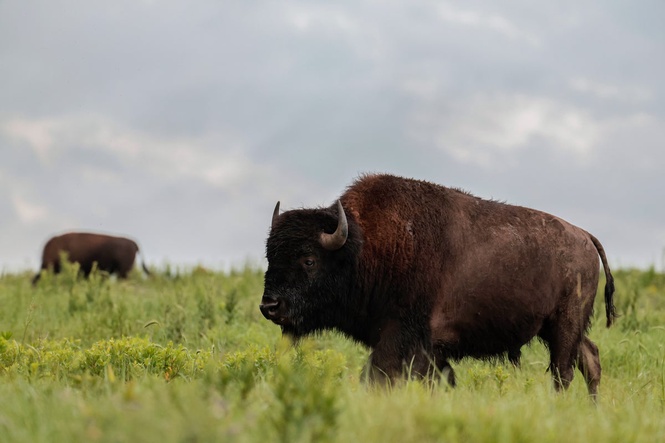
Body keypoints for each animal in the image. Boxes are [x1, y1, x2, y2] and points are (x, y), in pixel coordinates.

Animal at [260, 173, 616, 396]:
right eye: (269, 256)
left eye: (308, 260)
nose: (269, 306)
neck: (363, 247)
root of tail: (584, 236)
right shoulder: (428, 349)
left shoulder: (402, 337)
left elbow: (379, 376)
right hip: (558, 328)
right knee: (590, 359)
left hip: (564, 324)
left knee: (564, 371)